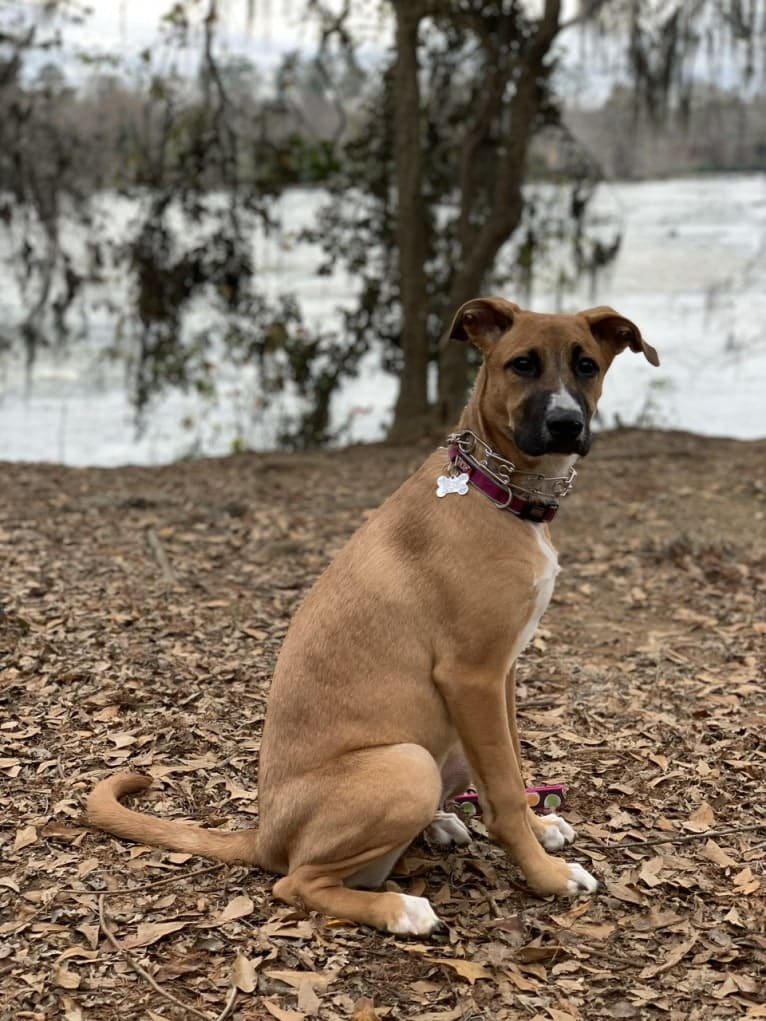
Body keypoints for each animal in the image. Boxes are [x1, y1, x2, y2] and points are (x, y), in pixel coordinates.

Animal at [85, 296, 661, 935]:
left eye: (587, 365)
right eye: (522, 364)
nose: (566, 424)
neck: (496, 491)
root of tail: (263, 836)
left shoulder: (503, 673)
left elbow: (510, 760)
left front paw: (540, 830)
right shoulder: (471, 676)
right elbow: (507, 792)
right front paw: (544, 875)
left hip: (447, 747)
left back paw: (442, 826)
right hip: (408, 765)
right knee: (298, 882)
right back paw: (399, 909)